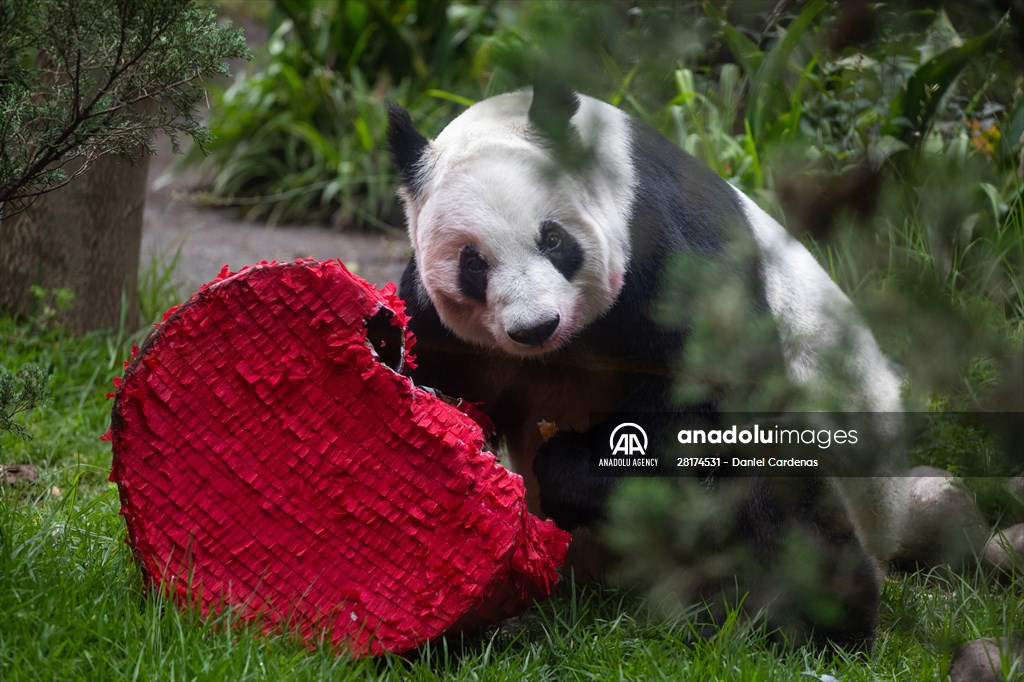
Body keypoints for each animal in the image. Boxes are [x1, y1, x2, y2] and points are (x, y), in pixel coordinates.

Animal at [385, 84, 905, 647]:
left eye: (553, 239)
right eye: (473, 262)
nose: (534, 326)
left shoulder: (664, 247)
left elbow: (707, 396)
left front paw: (567, 466)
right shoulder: (447, 330)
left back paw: (819, 627)